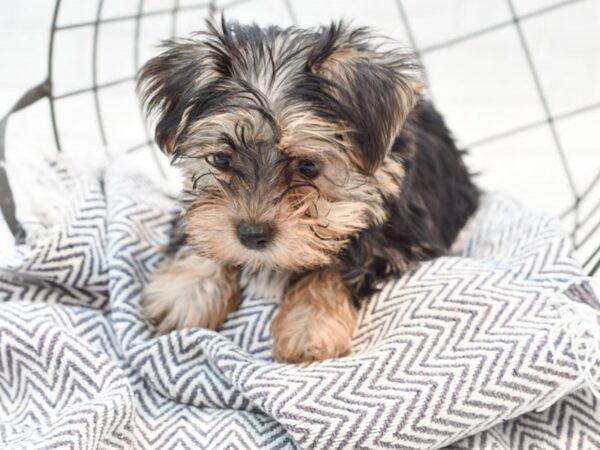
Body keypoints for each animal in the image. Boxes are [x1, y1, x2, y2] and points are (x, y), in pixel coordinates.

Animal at [136, 20, 478, 362]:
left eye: (308, 167)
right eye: (221, 159)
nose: (251, 235)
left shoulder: (396, 235)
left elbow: (344, 261)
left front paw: (310, 326)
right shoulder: (200, 212)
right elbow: (200, 230)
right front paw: (185, 291)